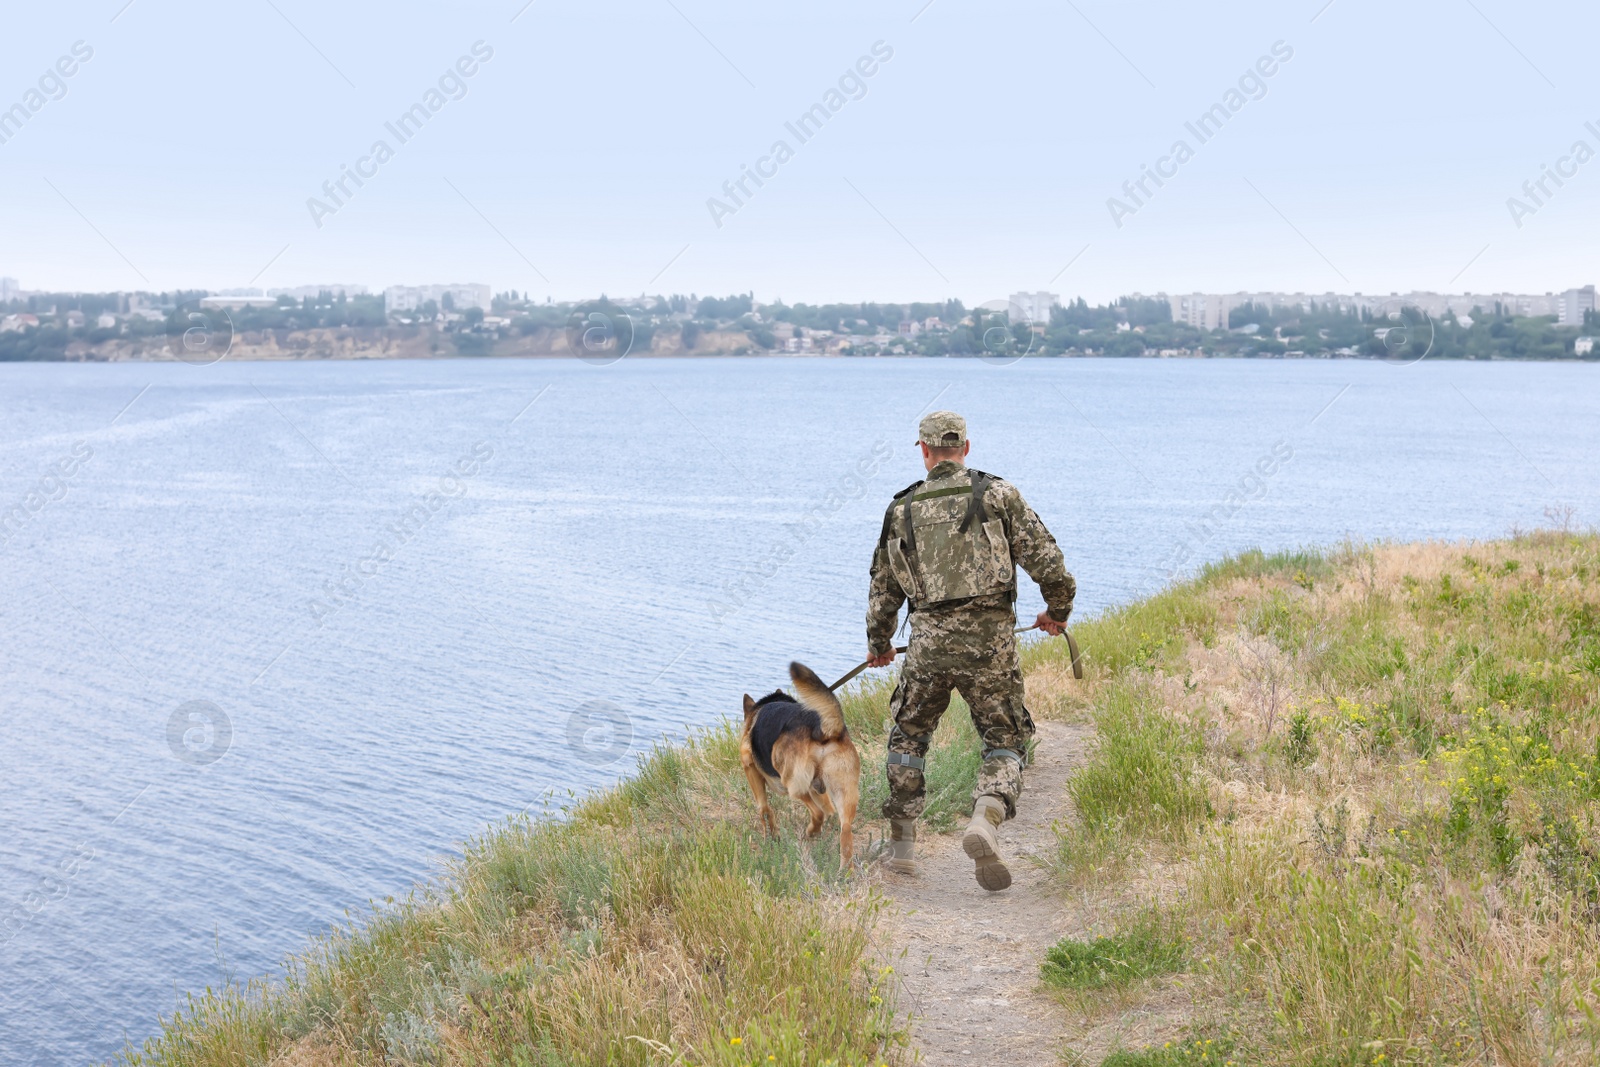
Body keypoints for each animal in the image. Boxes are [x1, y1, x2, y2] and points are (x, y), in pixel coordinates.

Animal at [739, 659, 857, 870]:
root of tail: (822, 729)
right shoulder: (819, 788)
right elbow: (829, 810)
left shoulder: (750, 769)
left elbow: (764, 809)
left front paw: (771, 838)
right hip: (841, 792)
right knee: (844, 828)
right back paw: (845, 869)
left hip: (793, 783)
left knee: (817, 813)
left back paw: (811, 832)